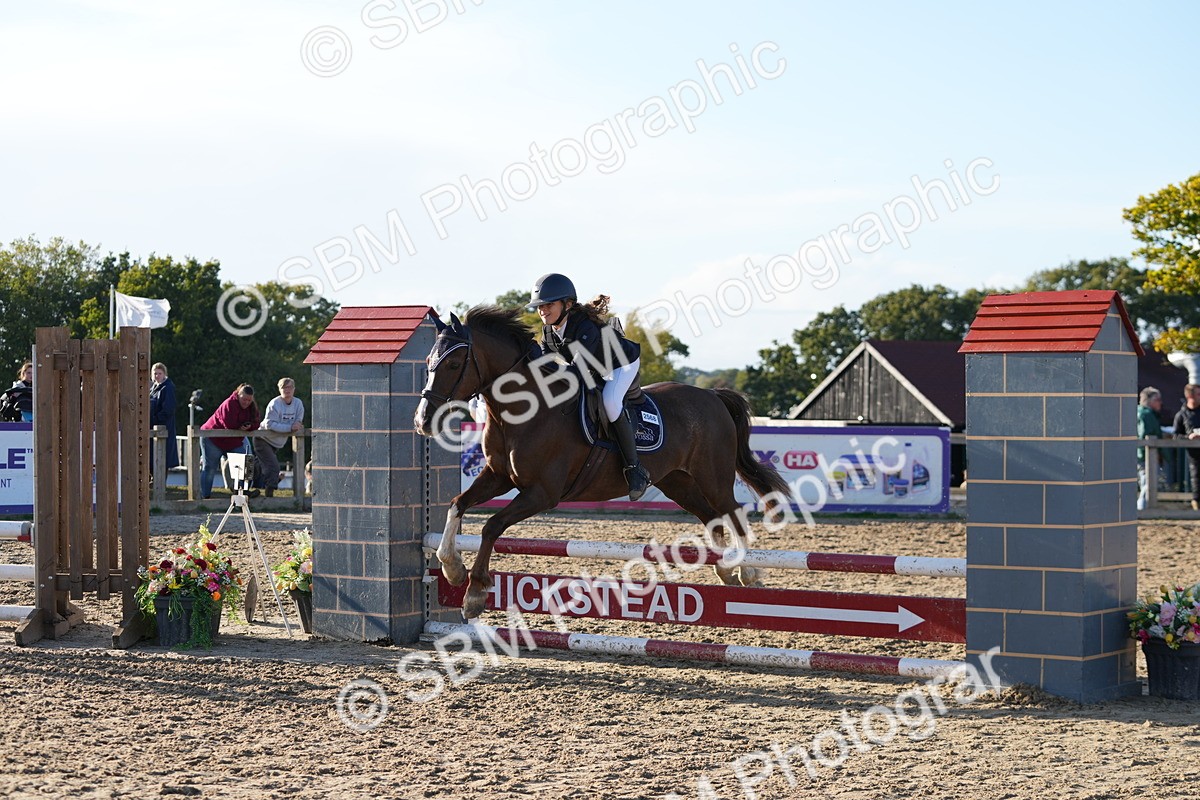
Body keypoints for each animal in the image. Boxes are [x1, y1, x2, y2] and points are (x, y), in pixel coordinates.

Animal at [414, 306, 793, 619]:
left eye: (452, 364)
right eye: (428, 361)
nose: (423, 421)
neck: (523, 410)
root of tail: (712, 395)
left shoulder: (542, 493)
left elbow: (491, 526)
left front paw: (475, 592)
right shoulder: (498, 477)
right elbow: (458, 503)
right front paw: (451, 568)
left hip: (712, 475)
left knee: (733, 512)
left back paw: (748, 572)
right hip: (677, 481)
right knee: (712, 517)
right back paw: (727, 571)